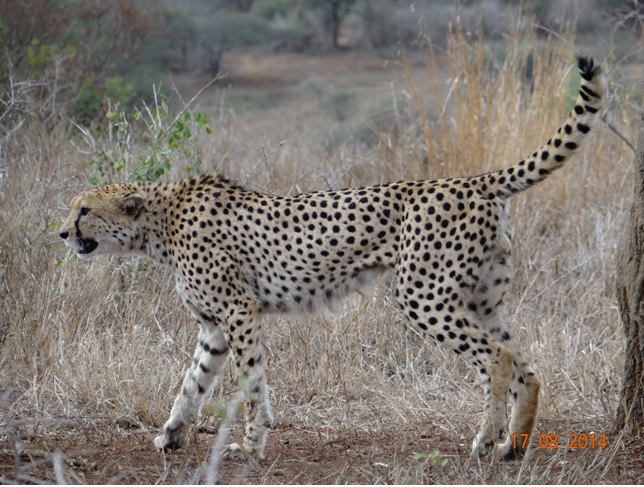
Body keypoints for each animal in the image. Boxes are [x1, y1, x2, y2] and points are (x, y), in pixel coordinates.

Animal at [57, 57, 608, 462]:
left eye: (84, 210)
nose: (62, 232)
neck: (160, 222)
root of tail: (472, 180)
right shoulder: (213, 326)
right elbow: (191, 383)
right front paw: (172, 434)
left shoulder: (239, 312)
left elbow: (251, 382)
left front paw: (251, 446)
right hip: (481, 301)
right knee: (527, 365)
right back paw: (514, 446)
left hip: (423, 296)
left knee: (498, 359)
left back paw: (484, 441)